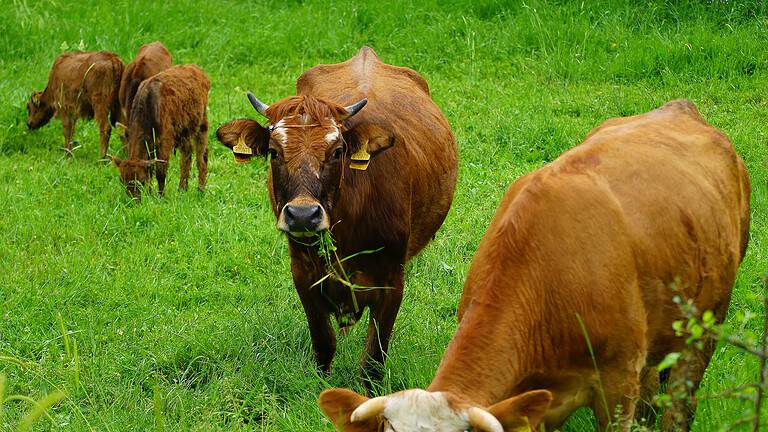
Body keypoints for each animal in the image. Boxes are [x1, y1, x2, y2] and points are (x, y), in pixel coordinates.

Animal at [110, 64, 210, 199]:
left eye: (141, 181)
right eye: (122, 180)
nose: (133, 200)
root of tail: (197, 69)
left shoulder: (165, 142)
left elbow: (160, 171)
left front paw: (161, 196)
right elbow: (151, 171)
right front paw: (150, 193)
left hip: (202, 123)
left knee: (202, 158)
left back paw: (200, 191)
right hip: (184, 131)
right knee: (186, 156)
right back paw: (182, 189)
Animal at [216, 46, 458, 391]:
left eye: (337, 151)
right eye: (274, 152)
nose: (303, 215)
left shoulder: (392, 280)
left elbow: (373, 359)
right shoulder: (303, 275)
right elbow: (324, 343)